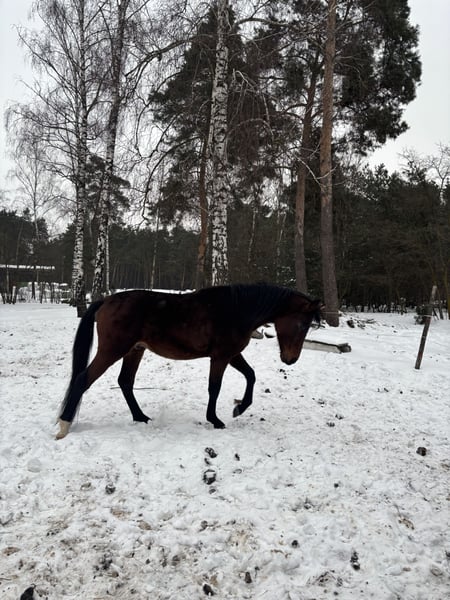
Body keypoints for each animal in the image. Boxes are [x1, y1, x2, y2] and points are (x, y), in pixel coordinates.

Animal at [56, 284, 322, 439]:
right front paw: (215, 420)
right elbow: (215, 387)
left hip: (134, 351)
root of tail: (105, 301)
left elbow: (251, 375)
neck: (237, 309)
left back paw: (141, 417)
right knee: (83, 380)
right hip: (113, 350)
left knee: (125, 382)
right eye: (303, 324)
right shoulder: (221, 357)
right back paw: (64, 426)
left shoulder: (232, 354)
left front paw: (239, 407)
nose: (291, 359)